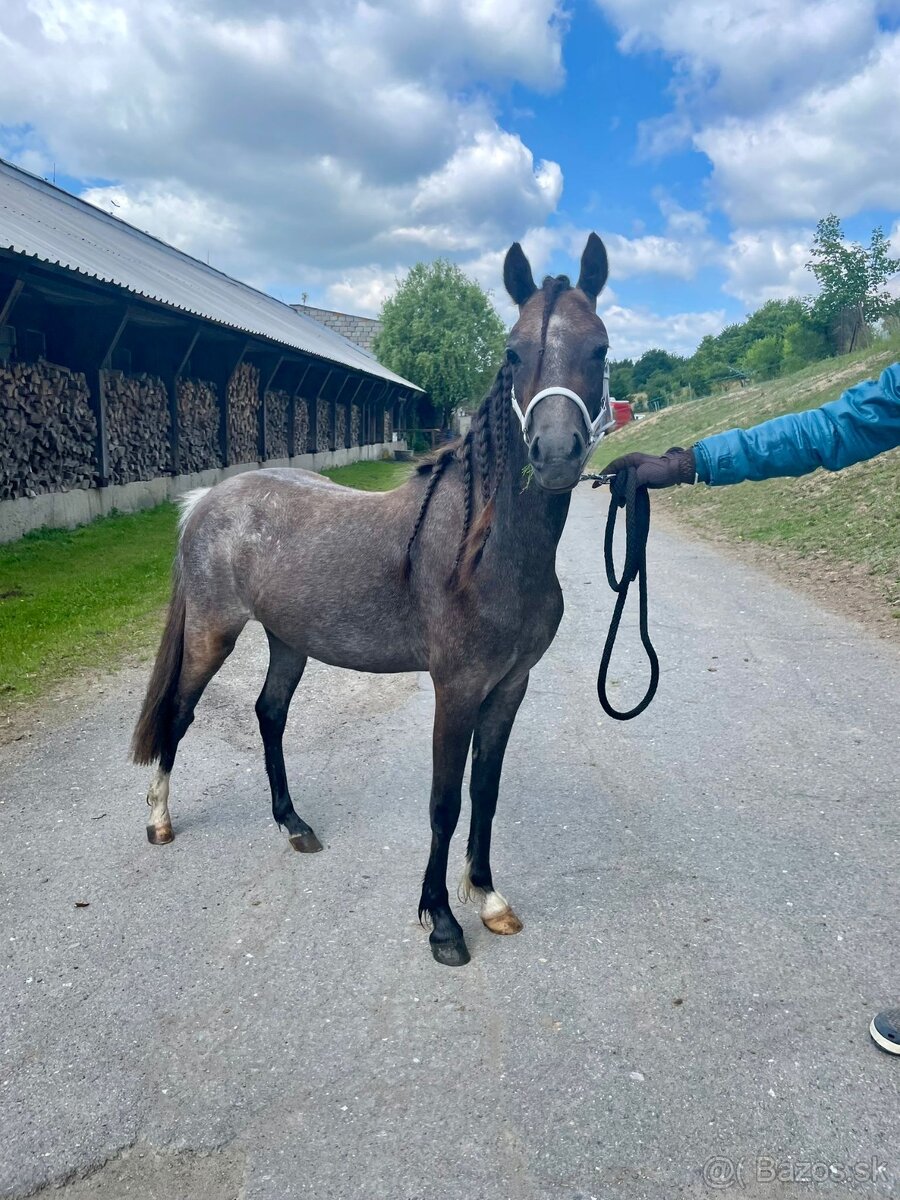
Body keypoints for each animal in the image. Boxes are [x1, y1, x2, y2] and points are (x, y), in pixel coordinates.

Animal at [131, 234, 612, 967]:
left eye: (600, 348)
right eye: (512, 352)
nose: (555, 454)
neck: (485, 549)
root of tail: (207, 500)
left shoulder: (510, 686)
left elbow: (486, 791)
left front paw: (488, 897)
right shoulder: (457, 688)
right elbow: (444, 802)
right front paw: (441, 921)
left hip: (288, 640)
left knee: (269, 713)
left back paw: (293, 824)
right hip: (214, 634)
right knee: (179, 713)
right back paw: (160, 819)